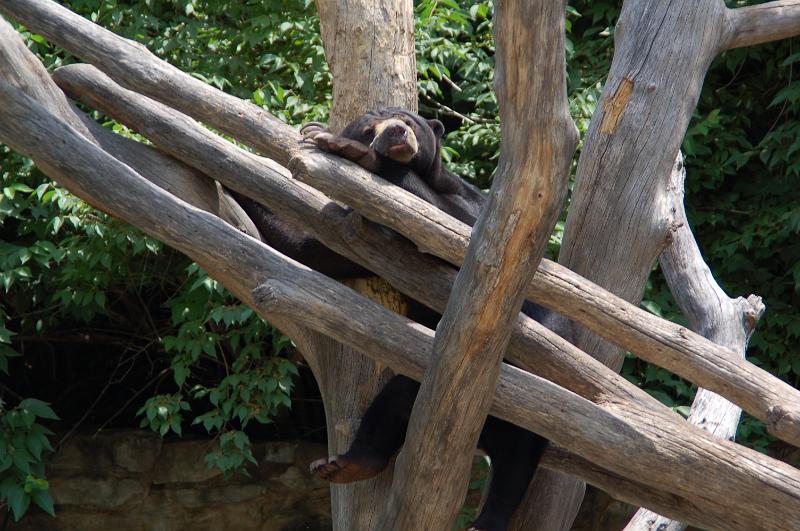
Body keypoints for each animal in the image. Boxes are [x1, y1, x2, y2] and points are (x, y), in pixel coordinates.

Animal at [238, 108, 549, 531]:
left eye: (410, 122)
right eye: (370, 127)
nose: (397, 133)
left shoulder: (473, 204)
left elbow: (462, 232)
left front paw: (336, 143)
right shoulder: (361, 238)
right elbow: (309, 248)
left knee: (516, 466)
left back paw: (487, 520)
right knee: (395, 404)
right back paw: (346, 465)